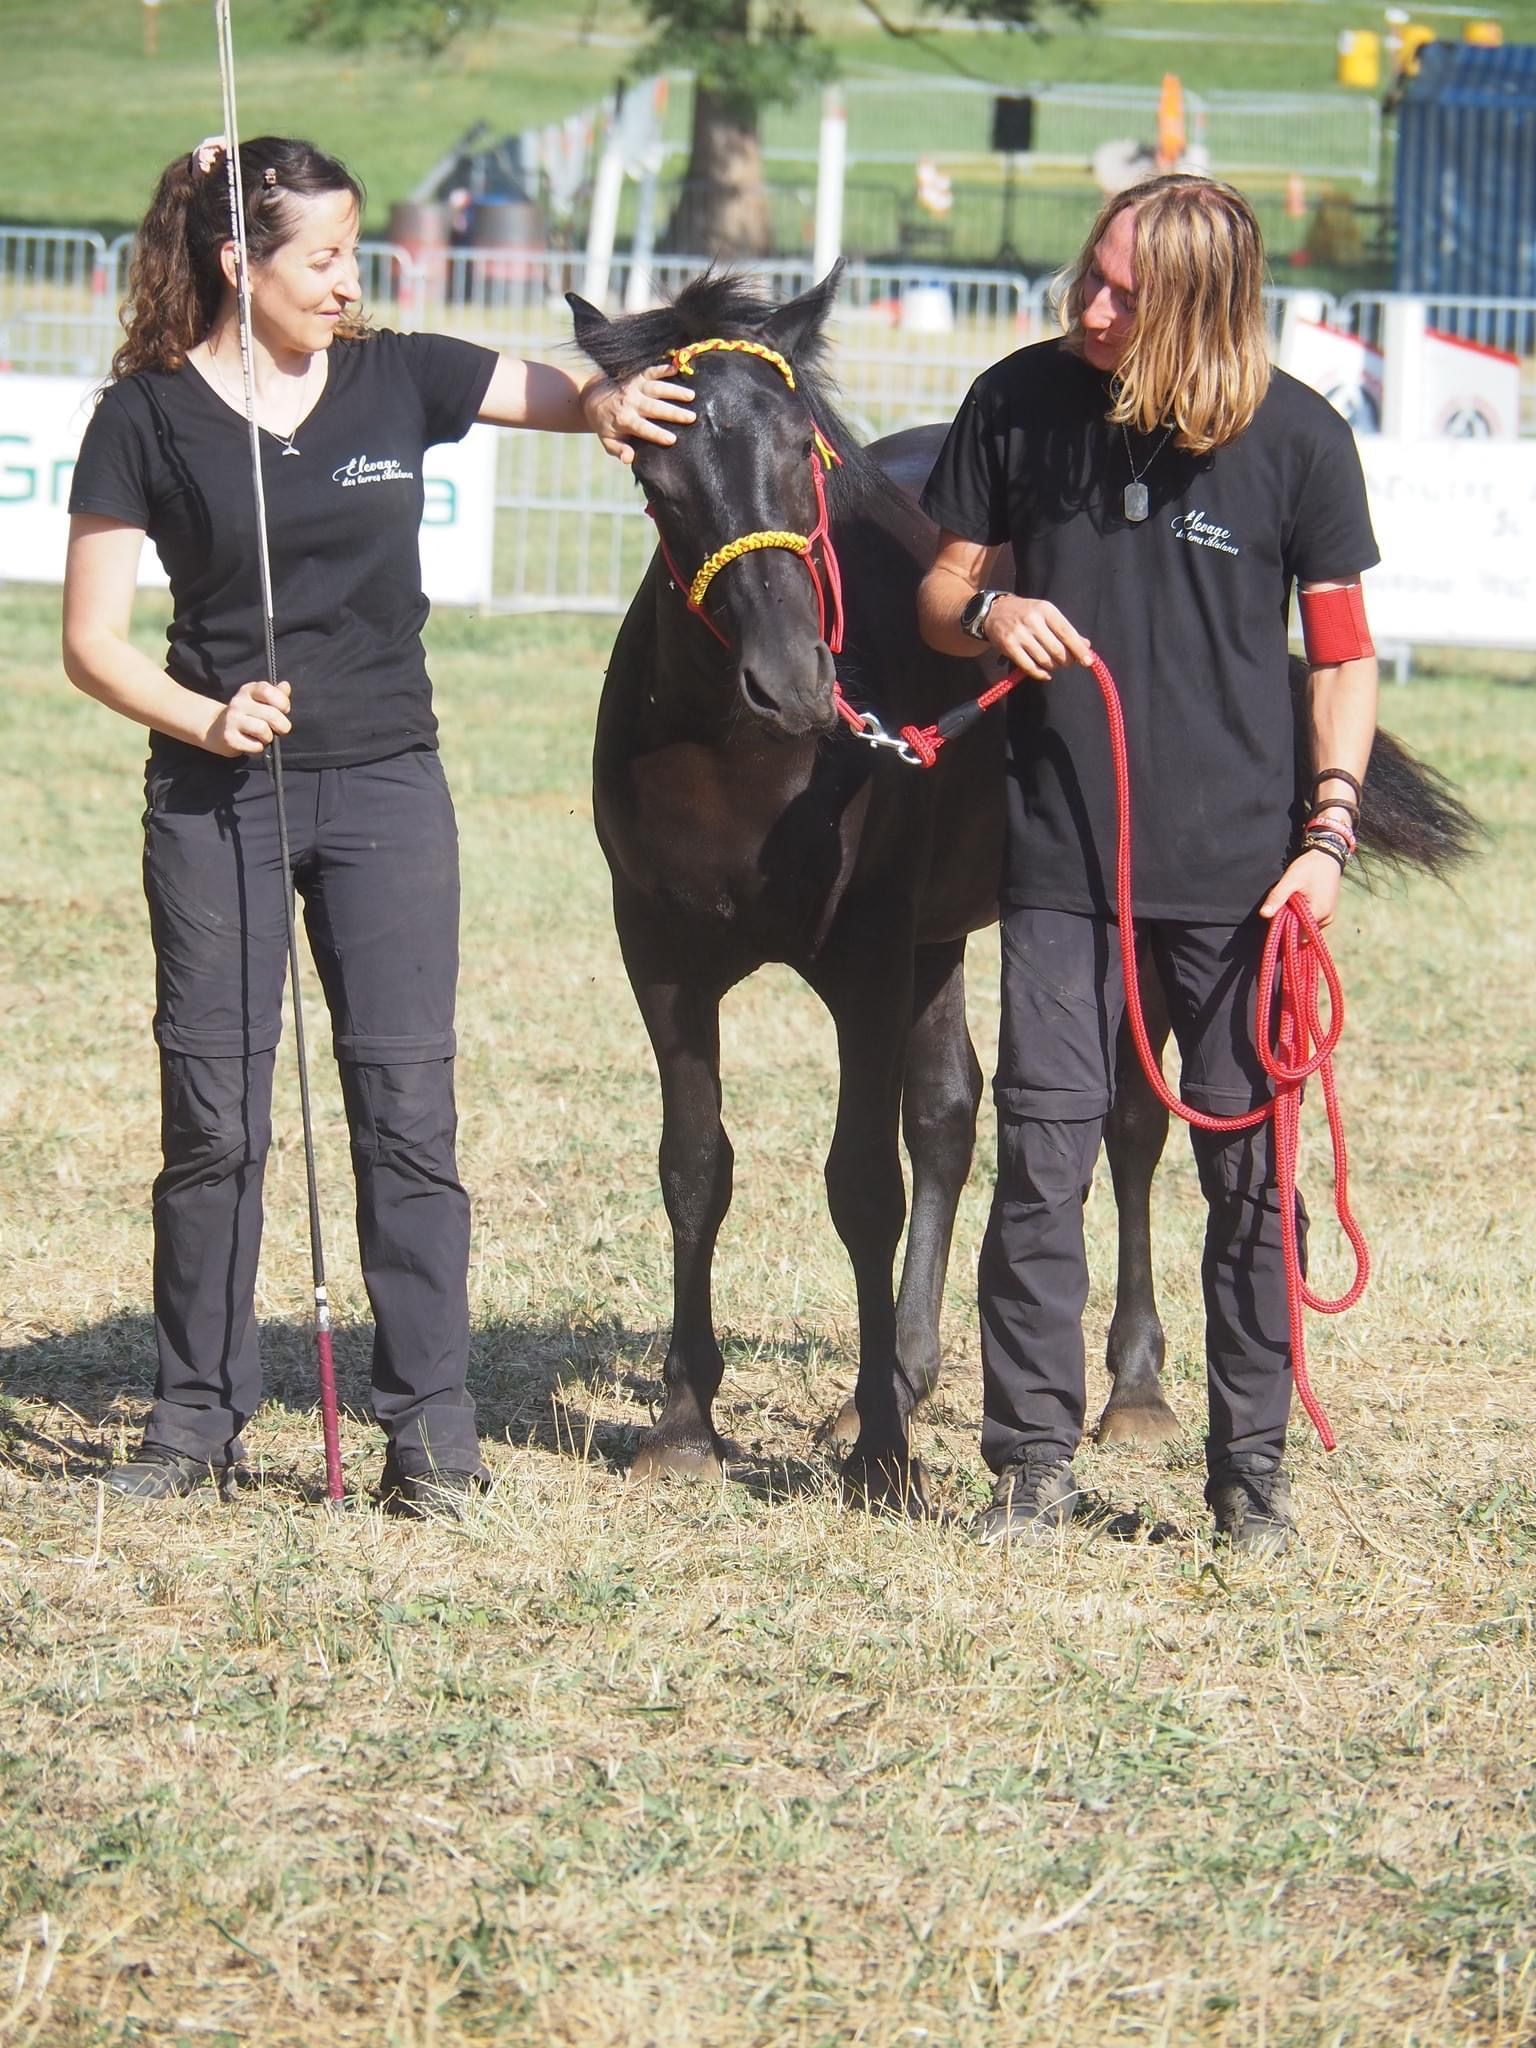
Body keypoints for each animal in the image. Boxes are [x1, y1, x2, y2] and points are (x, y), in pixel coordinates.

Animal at [567, 269, 1477, 1513]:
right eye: (657, 481)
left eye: (805, 454)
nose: (794, 680)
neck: (745, 762)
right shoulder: (661, 960)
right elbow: (697, 1169)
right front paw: (683, 1423)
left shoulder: (863, 961)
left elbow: (863, 1182)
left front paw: (883, 1457)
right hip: (938, 938)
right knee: (952, 1119)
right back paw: (893, 1377)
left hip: (1103, 939)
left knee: (1134, 1123)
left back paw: (1129, 1388)